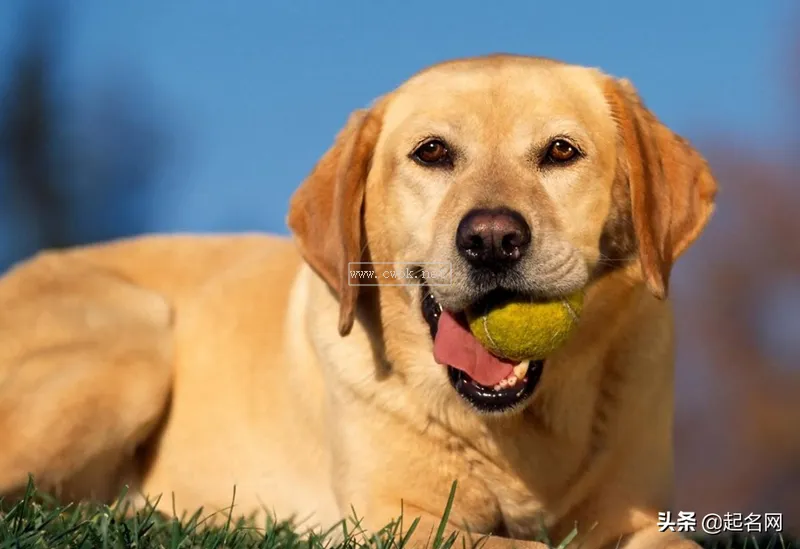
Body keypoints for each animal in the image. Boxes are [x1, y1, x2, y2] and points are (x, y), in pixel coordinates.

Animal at [0, 52, 720, 548]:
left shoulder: (633, 514)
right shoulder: (396, 519)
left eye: (561, 151)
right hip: (135, 342)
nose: (492, 239)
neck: (519, 429)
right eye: (432, 152)